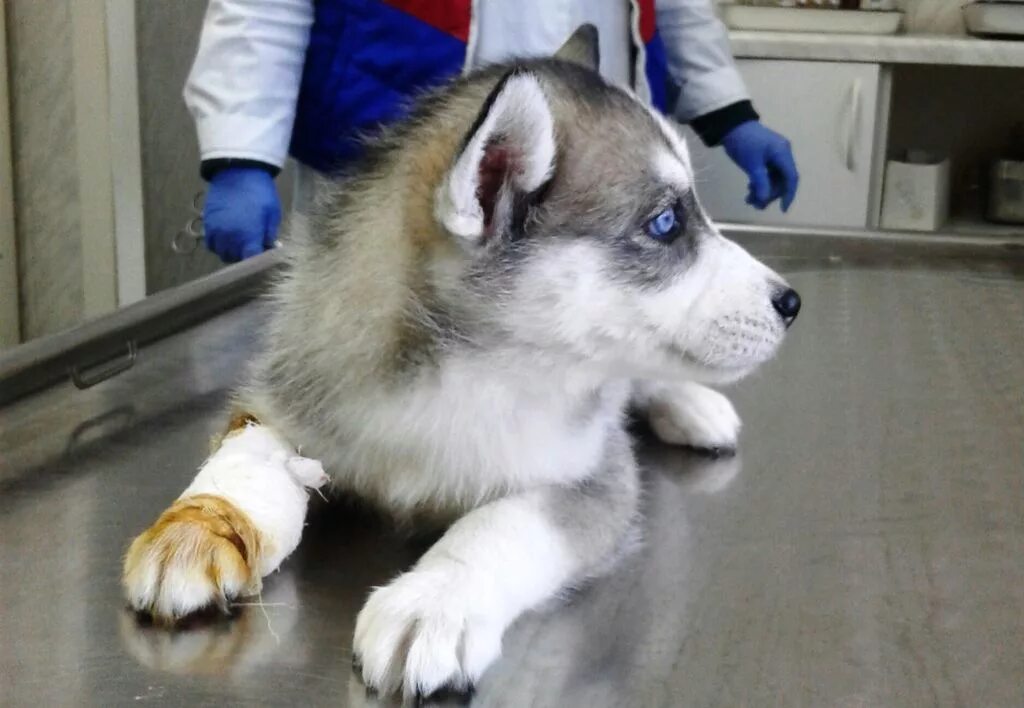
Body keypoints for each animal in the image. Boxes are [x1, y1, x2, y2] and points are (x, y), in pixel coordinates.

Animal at [123, 26, 798, 696]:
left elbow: (503, 523)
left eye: (683, 216)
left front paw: (434, 600)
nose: (791, 302)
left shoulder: (596, 477)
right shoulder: (281, 394)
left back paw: (693, 407)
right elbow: (250, 460)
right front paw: (197, 528)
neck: (470, 375)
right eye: (664, 223)